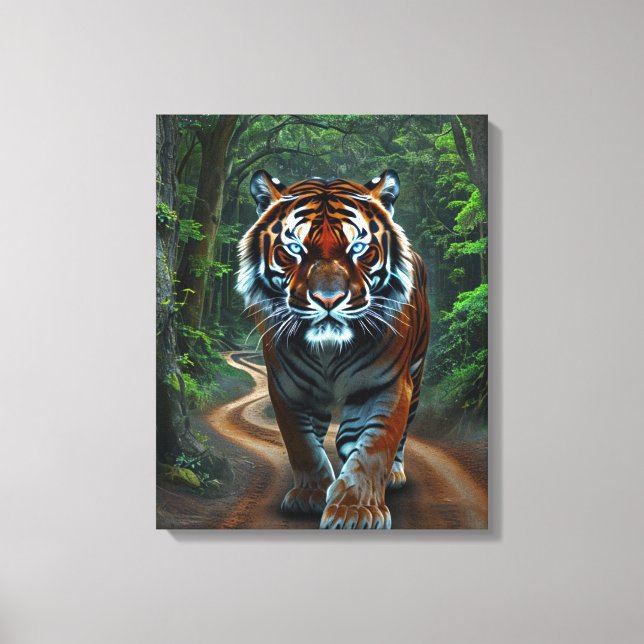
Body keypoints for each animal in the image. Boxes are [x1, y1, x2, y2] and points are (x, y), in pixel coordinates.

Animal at [236, 169, 430, 529]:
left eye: (358, 247)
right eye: (294, 248)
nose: (329, 299)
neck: (328, 351)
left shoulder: (388, 386)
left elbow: (375, 446)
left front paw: (355, 510)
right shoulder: (288, 388)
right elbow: (302, 444)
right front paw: (310, 494)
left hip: (416, 373)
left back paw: (393, 475)